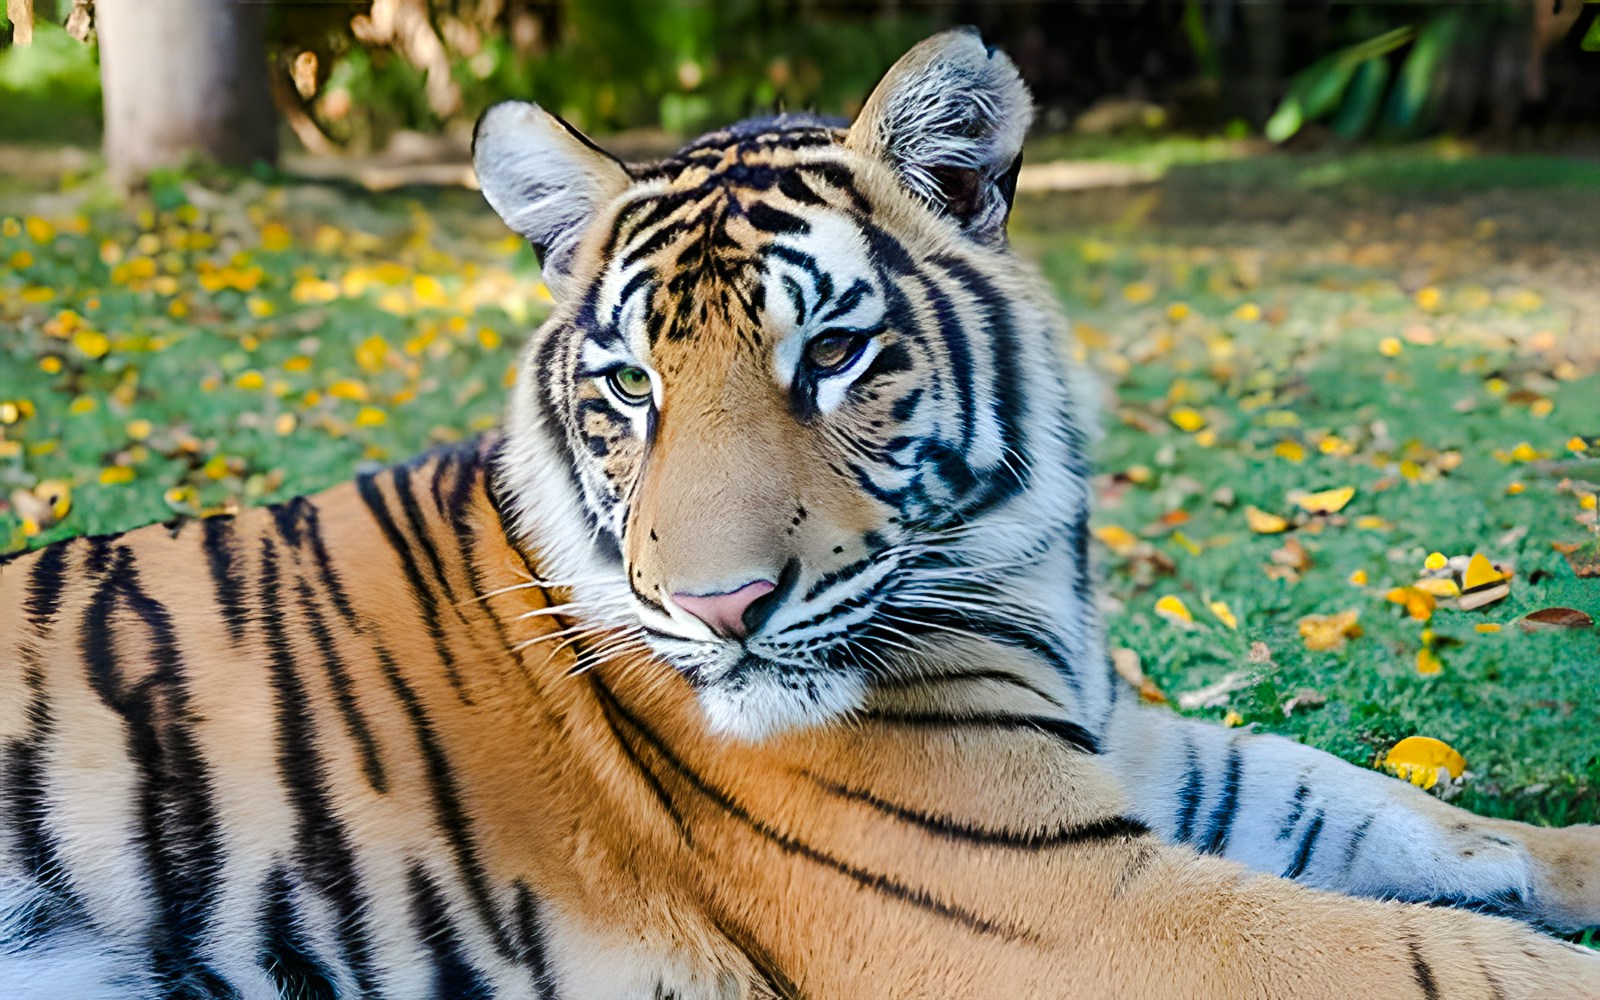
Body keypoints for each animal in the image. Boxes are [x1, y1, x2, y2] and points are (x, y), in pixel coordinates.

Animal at [3, 26, 1599, 999]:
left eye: (830, 354)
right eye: (631, 385)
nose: (719, 609)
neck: (1023, 577)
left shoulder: (1133, 761)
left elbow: (1414, 814)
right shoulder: (1065, 904)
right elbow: (1451, 955)